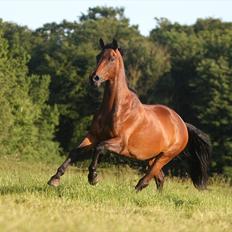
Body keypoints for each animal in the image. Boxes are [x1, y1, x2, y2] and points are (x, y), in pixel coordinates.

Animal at [48, 37, 211, 190]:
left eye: (112, 58)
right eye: (98, 56)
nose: (94, 78)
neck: (115, 108)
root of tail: (182, 124)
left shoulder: (119, 143)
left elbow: (99, 148)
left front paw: (93, 177)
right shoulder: (93, 136)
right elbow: (75, 152)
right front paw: (55, 178)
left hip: (165, 156)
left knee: (146, 179)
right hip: (151, 157)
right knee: (160, 178)